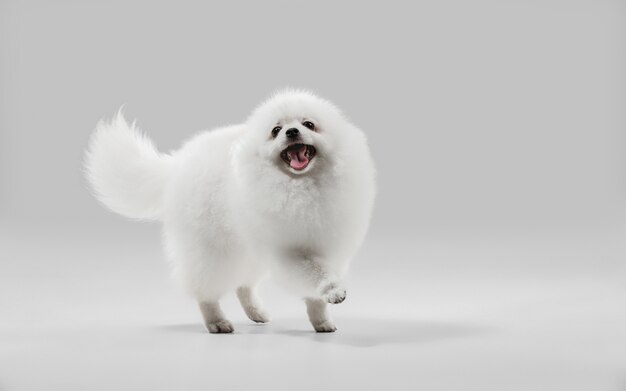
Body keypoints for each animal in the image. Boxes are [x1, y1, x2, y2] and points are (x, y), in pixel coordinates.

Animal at [83, 92, 376, 334]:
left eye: (309, 124)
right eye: (276, 131)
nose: (292, 132)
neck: (301, 187)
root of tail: (178, 163)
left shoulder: (328, 247)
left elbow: (315, 293)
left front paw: (321, 320)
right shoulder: (288, 252)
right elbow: (315, 273)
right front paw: (333, 291)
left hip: (247, 248)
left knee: (243, 285)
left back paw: (256, 312)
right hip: (211, 249)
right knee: (205, 289)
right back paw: (216, 321)